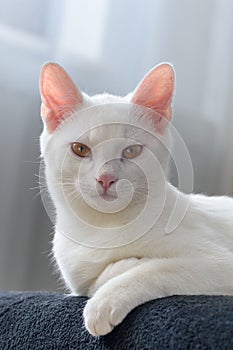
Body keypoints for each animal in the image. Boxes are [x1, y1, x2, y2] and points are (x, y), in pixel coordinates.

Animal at [39, 63, 233, 336]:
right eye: (80, 149)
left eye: (132, 151)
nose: (106, 178)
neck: (103, 227)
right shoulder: (76, 274)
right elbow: (90, 281)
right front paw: (122, 266)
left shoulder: (220, 262)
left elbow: (157, 269)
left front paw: (105, 301)